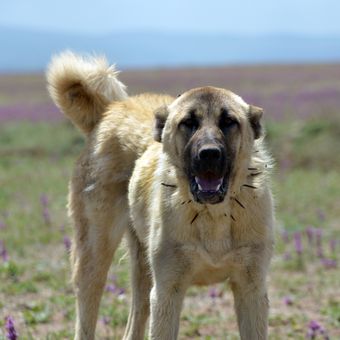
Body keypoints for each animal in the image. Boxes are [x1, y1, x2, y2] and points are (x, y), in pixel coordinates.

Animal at [47, 51, 274, 338]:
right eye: (188, 123)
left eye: (228, 122)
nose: (209, 154)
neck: (213, 215)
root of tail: (112, 108)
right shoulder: (167, 291)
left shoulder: (251, 289)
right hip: (94, 258)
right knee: (87, 312)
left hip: (142, 270)